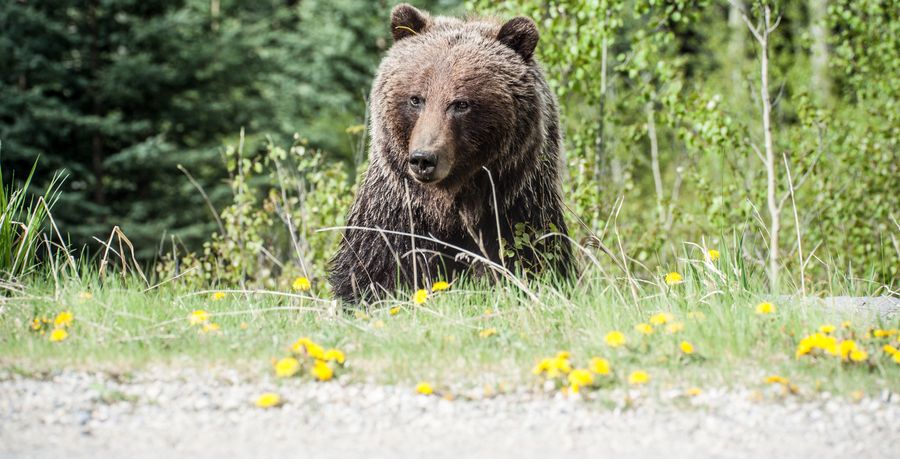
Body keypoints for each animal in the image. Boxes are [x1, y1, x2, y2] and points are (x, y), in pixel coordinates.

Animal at [328, 3, 568, 306]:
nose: (423, 159)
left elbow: (530, 260)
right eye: (416, 99)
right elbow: (372, 270)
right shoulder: (396, 213)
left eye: (460, 104)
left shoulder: (516, 208)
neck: (450, 204)